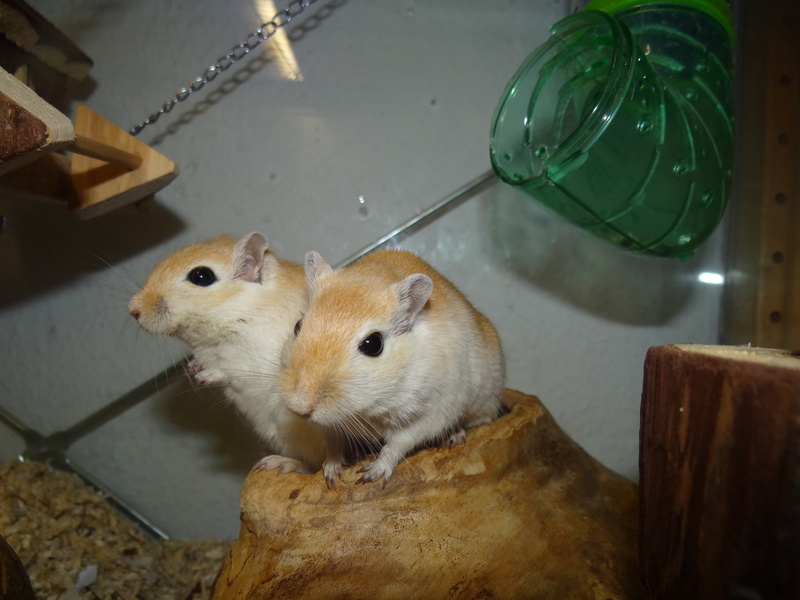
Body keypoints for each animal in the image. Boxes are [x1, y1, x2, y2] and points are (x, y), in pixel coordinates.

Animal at [128, 232, 328, 473]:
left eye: (201, 276)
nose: (132, 311)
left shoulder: (256, 362)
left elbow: (232, 372)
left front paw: (204, 378)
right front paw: (192, 368)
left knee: (314, 465)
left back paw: (277, 463)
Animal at [280, 249, 506, 487]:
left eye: (373, 344)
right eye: (297, 326)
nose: (298, 407)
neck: (366, 411)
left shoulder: (428, 415)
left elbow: (397, 444)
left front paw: (370, 475)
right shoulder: (329, 426)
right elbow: (333, 445)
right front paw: (332, 473)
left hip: (485, 402)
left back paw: (455, 437)